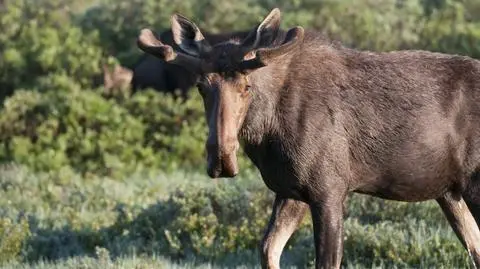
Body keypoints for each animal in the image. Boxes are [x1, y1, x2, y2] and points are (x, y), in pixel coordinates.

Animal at [137, 7, 480, 268]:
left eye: (246, 86)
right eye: (201, 86)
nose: (220, 158)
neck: (266, 133)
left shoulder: (329, 189)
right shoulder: (290, 190)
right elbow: (268, 250)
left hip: (473, 184)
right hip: (449, 193)